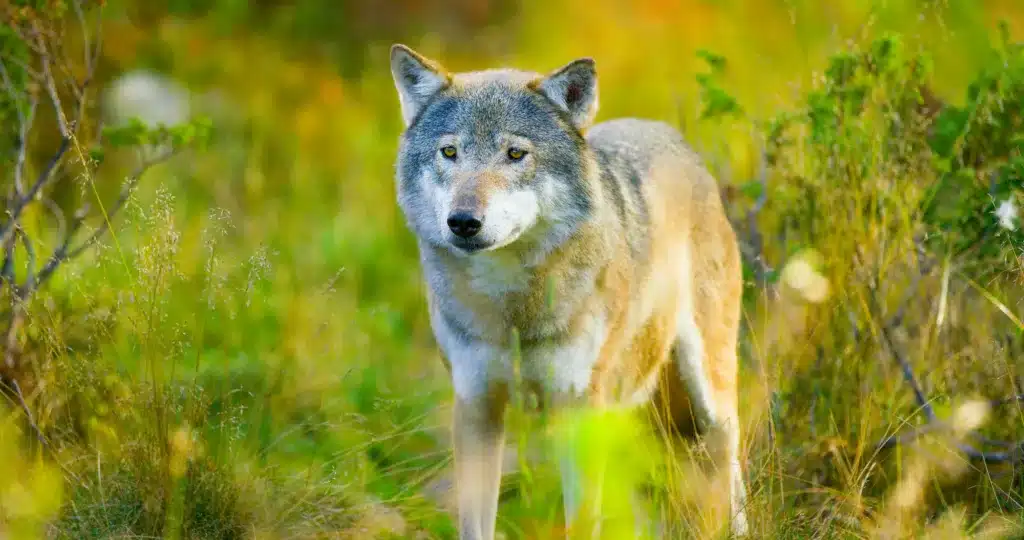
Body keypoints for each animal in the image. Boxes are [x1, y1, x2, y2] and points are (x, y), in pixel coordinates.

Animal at [389, 44, 749, 539]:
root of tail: (671, 135)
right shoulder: (476, 407)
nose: (462, 221)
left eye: (515, 153)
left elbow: (580, 521)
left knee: (731, 465)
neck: (513, 312)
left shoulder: (579, 411)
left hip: (709, 396)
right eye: (449, 151)